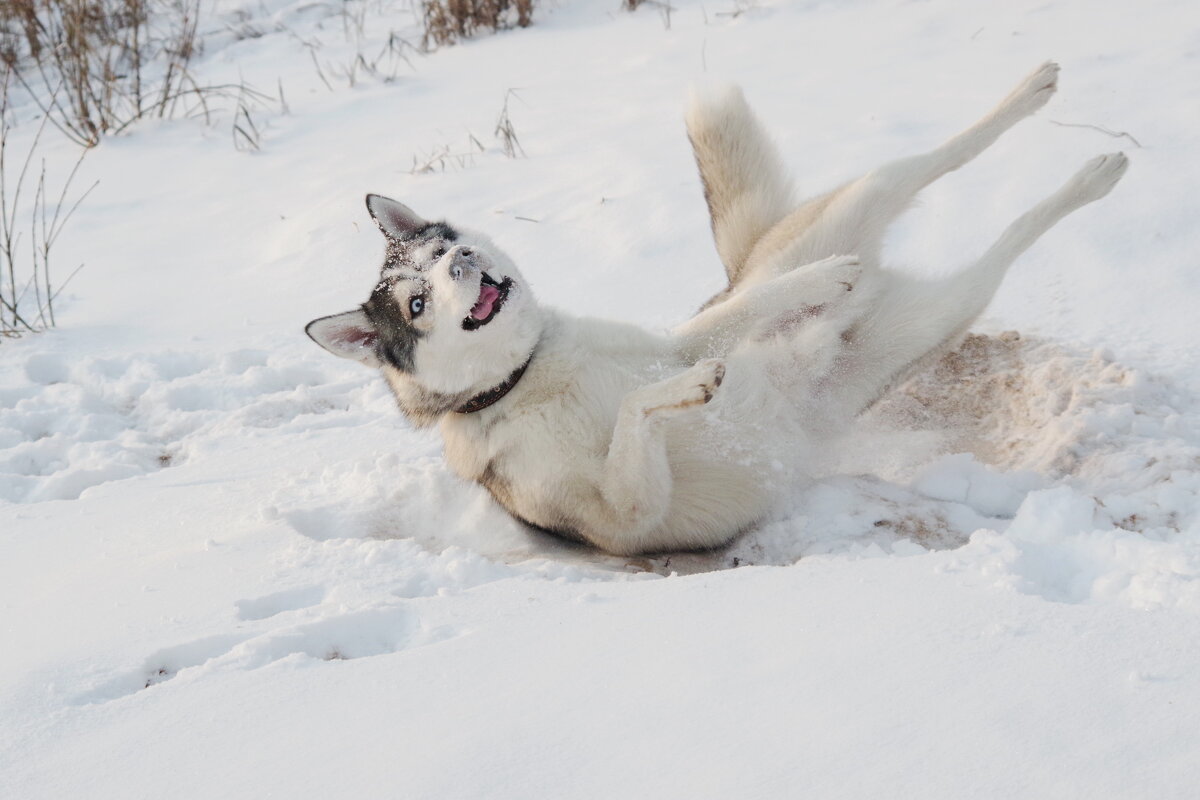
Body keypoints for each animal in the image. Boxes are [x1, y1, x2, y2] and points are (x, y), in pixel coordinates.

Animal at [307, 62, 1123, 554]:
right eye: (417, 301)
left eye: (443, 246)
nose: (461, 262)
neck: (530, 375)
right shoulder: (625, 520)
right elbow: (644, 404)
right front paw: (692, 390)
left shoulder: (679, 341)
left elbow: (727, 325)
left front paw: (815, 286)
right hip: (949, 303)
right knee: (1005, 240)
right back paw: (1089, 174)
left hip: (864, 215)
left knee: (926, 165)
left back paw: (1047, 115)